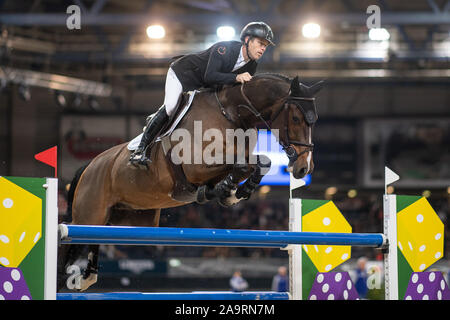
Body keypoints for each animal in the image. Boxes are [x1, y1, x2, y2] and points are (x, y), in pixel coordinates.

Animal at [58, 74, 324, 292]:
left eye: (314, 121)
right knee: (69, 235)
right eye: (297, 118)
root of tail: (90, 165)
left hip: (127, 218)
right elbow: (243, 166)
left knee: (94, 237)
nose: (304, 168)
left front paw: (233, 192)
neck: (231, 114)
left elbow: (260, 163)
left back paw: (87, 277)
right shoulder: (196, 168)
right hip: (90, 212)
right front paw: (225, 191)